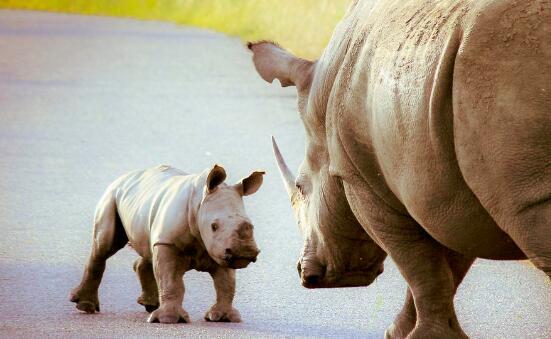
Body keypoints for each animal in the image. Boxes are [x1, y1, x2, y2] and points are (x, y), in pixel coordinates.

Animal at [70, 165, 264, 324]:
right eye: (214, 226)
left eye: (251, 225)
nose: (244, 251)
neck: (199, 203)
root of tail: (124, 176)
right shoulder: (169, 243)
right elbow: (171, 281)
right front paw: (169, 320)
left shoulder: (220, 249)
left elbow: (226, 284)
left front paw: (223, 318)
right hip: (111, 196)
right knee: (103, 247)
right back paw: (86, 307)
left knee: (148, 249)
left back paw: (150, 305)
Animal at [249, 0, 548, 338]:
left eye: (300, 185)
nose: (305, 273)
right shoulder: (449, 189)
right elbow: (442, 265)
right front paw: (401, 331)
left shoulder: (359, 179)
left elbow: (417, 262)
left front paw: (426, 336)